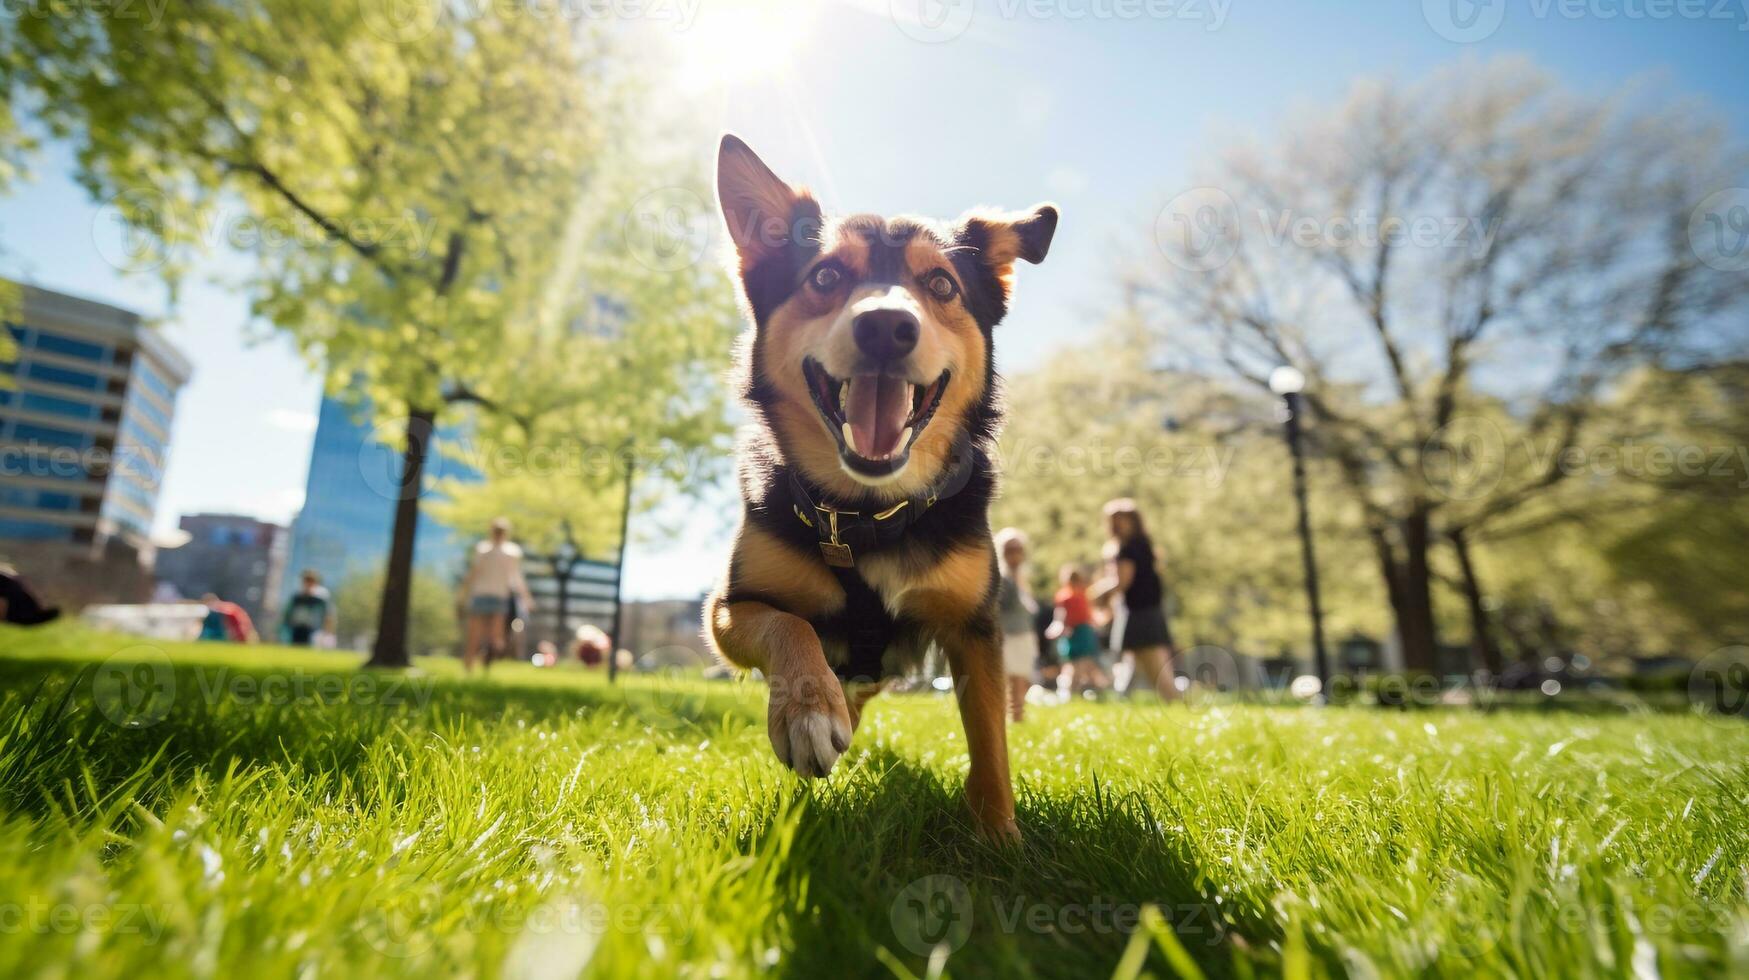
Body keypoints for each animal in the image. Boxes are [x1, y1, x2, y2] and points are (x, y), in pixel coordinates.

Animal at [703, 133, 1056, 843]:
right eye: (826, 278)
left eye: (941, 283)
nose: (887, 326)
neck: (867, 514)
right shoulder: (728, 608)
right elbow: (788, 625)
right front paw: (807, 712)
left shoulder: (976, 627)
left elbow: (991, 739)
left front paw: (1000, 836)